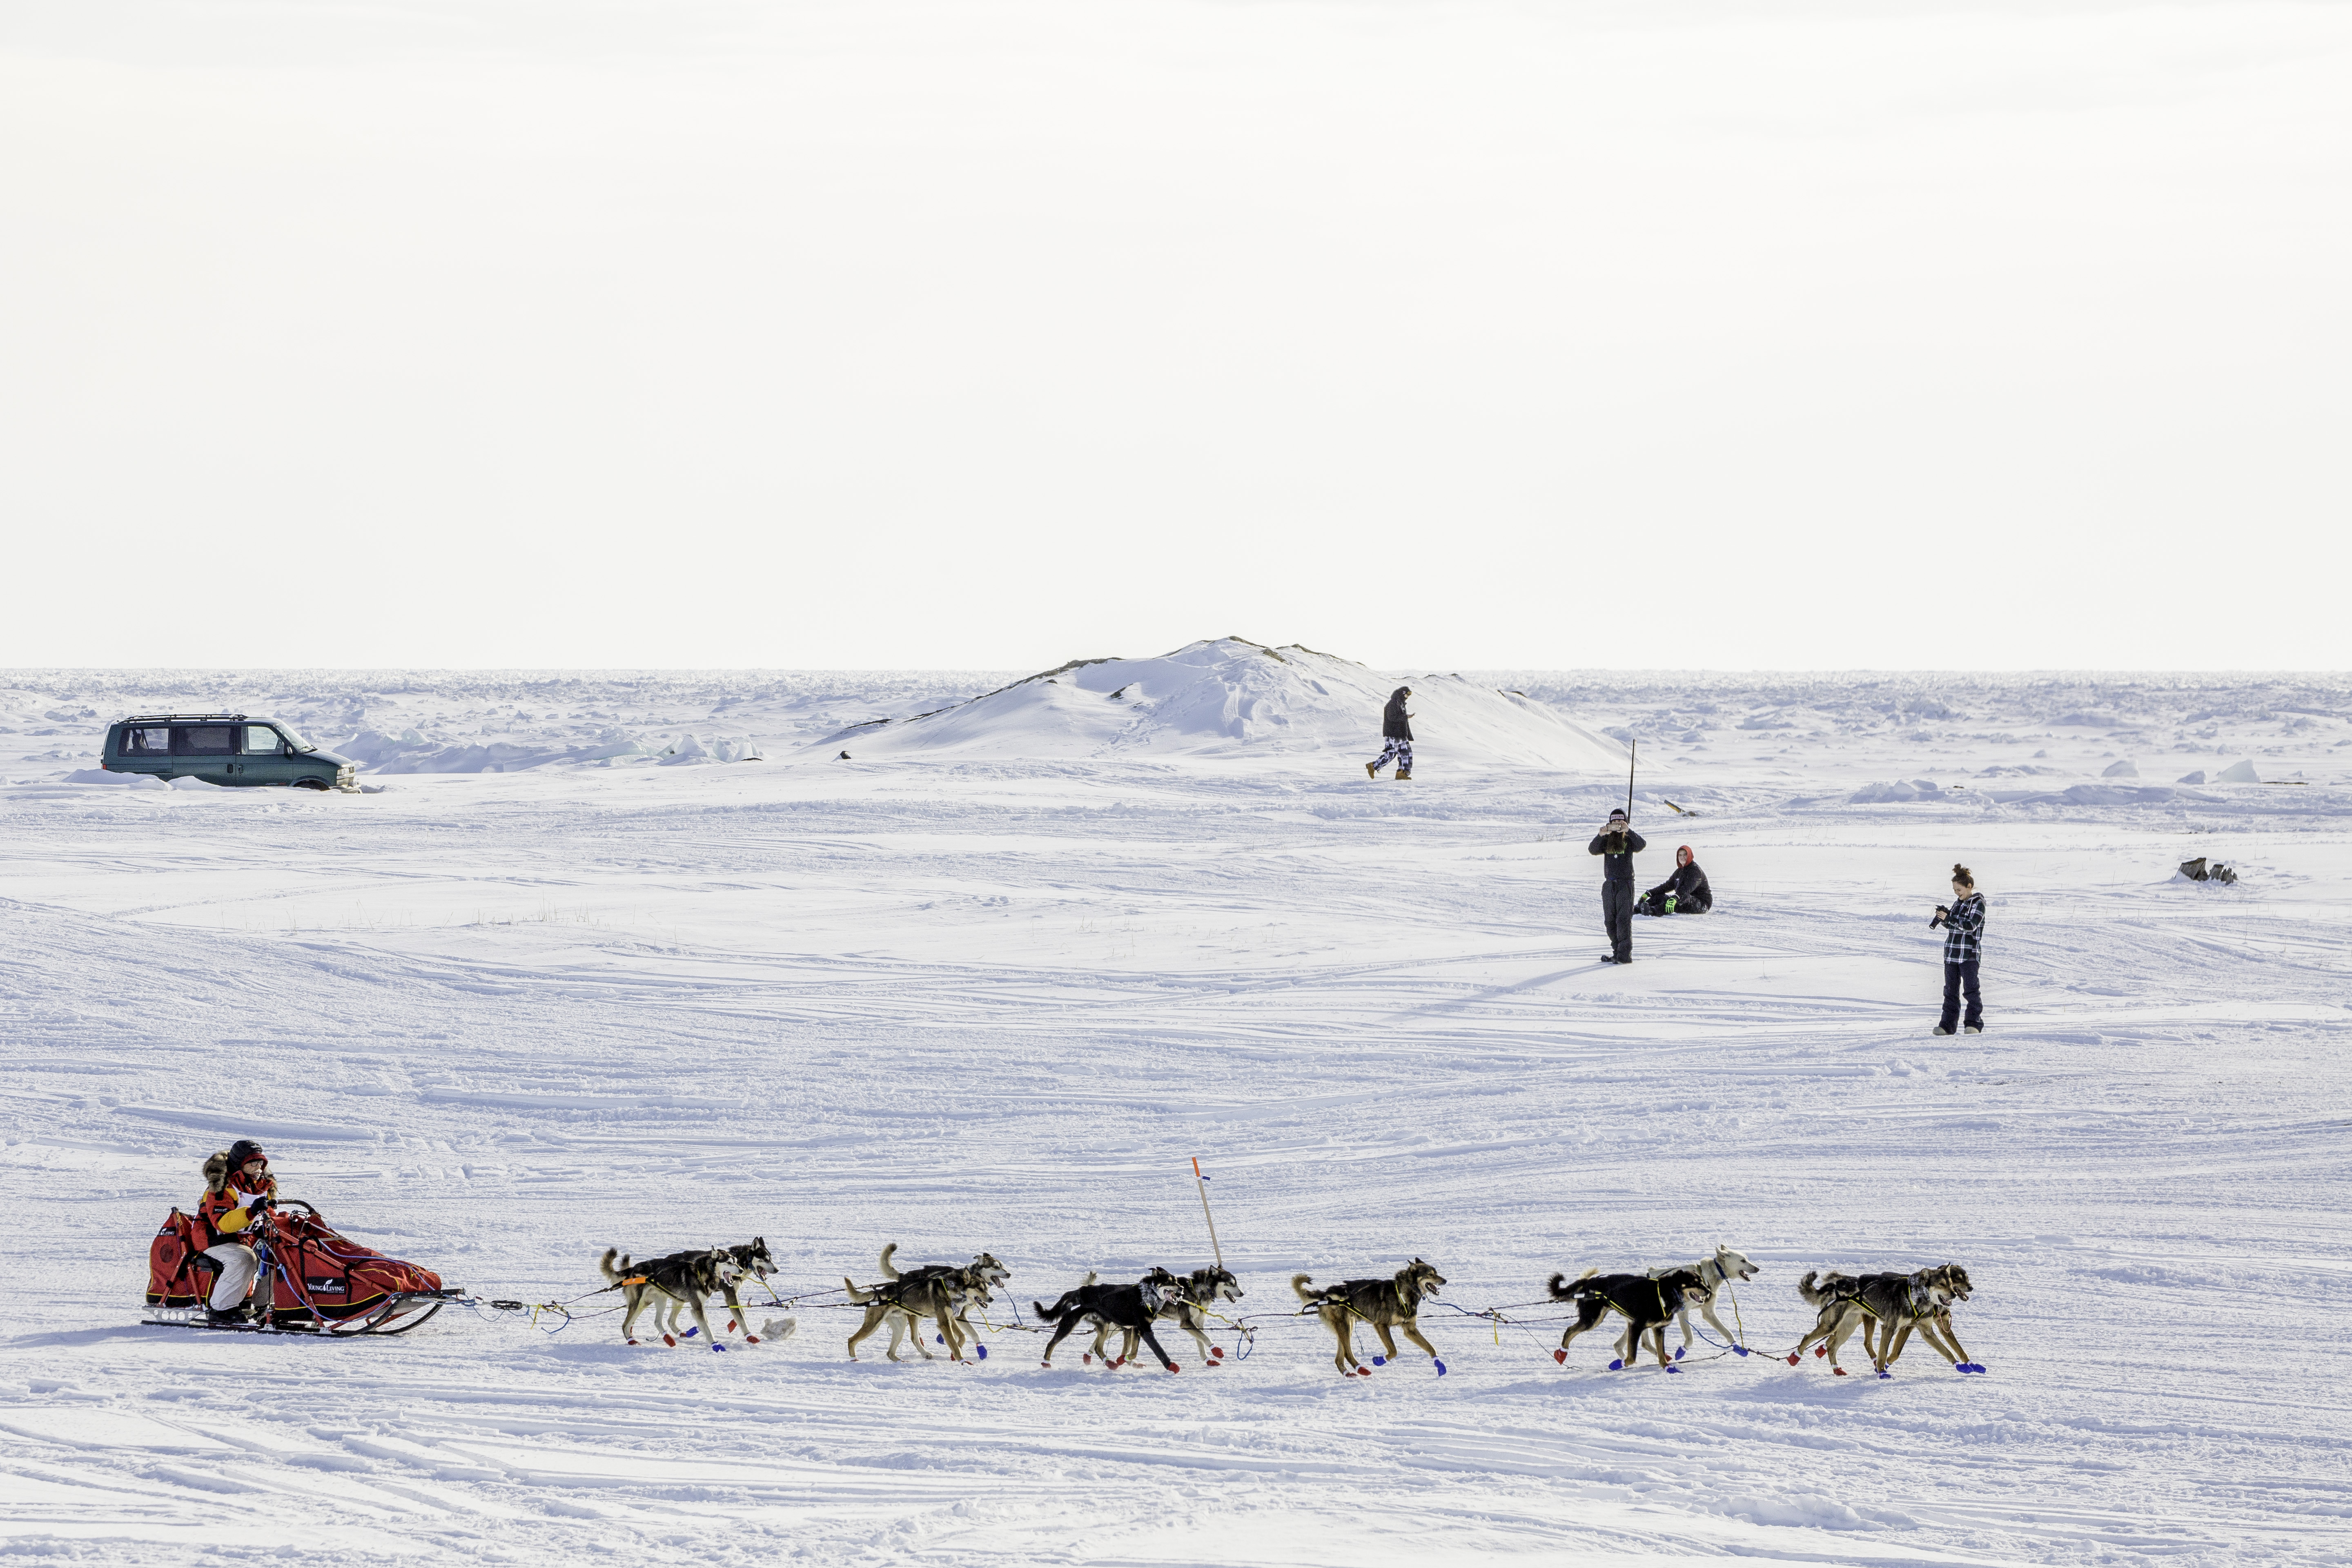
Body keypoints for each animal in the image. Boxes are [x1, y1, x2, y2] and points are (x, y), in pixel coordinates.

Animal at [1298, 1260, 1439, 1373]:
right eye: (1431, 1274)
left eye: (1437, 1273)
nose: (1444, 1280)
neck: (1403, 1294)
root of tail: (1325, 1295)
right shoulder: (1381, 1326)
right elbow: (1394, 1351)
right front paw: (1379, 1360)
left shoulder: (1410, 1329)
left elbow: (1431, 1348)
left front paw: (1440, 1365)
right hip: (1344, 1327)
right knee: (1348, 1354)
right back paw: (1361, 1369)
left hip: (1347, 1327)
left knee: (1339, 1358)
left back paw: (1349, 1374)